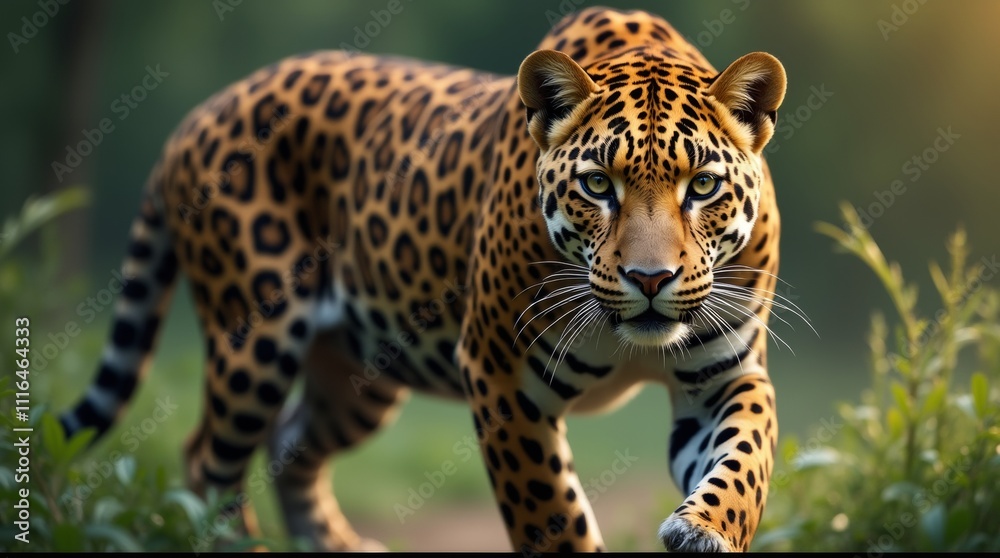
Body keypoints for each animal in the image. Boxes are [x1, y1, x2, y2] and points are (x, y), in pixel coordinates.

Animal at [59, 6, 790, 552]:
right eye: (597, 186)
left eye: (702, 187)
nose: (650, 278)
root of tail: (203, 111)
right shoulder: (501, 378)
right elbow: (552, 515)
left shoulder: (723, 374)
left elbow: (746, 456)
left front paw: (707, 530)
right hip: (255, 341)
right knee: (207, 462)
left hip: (362, 374)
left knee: (290, 443)